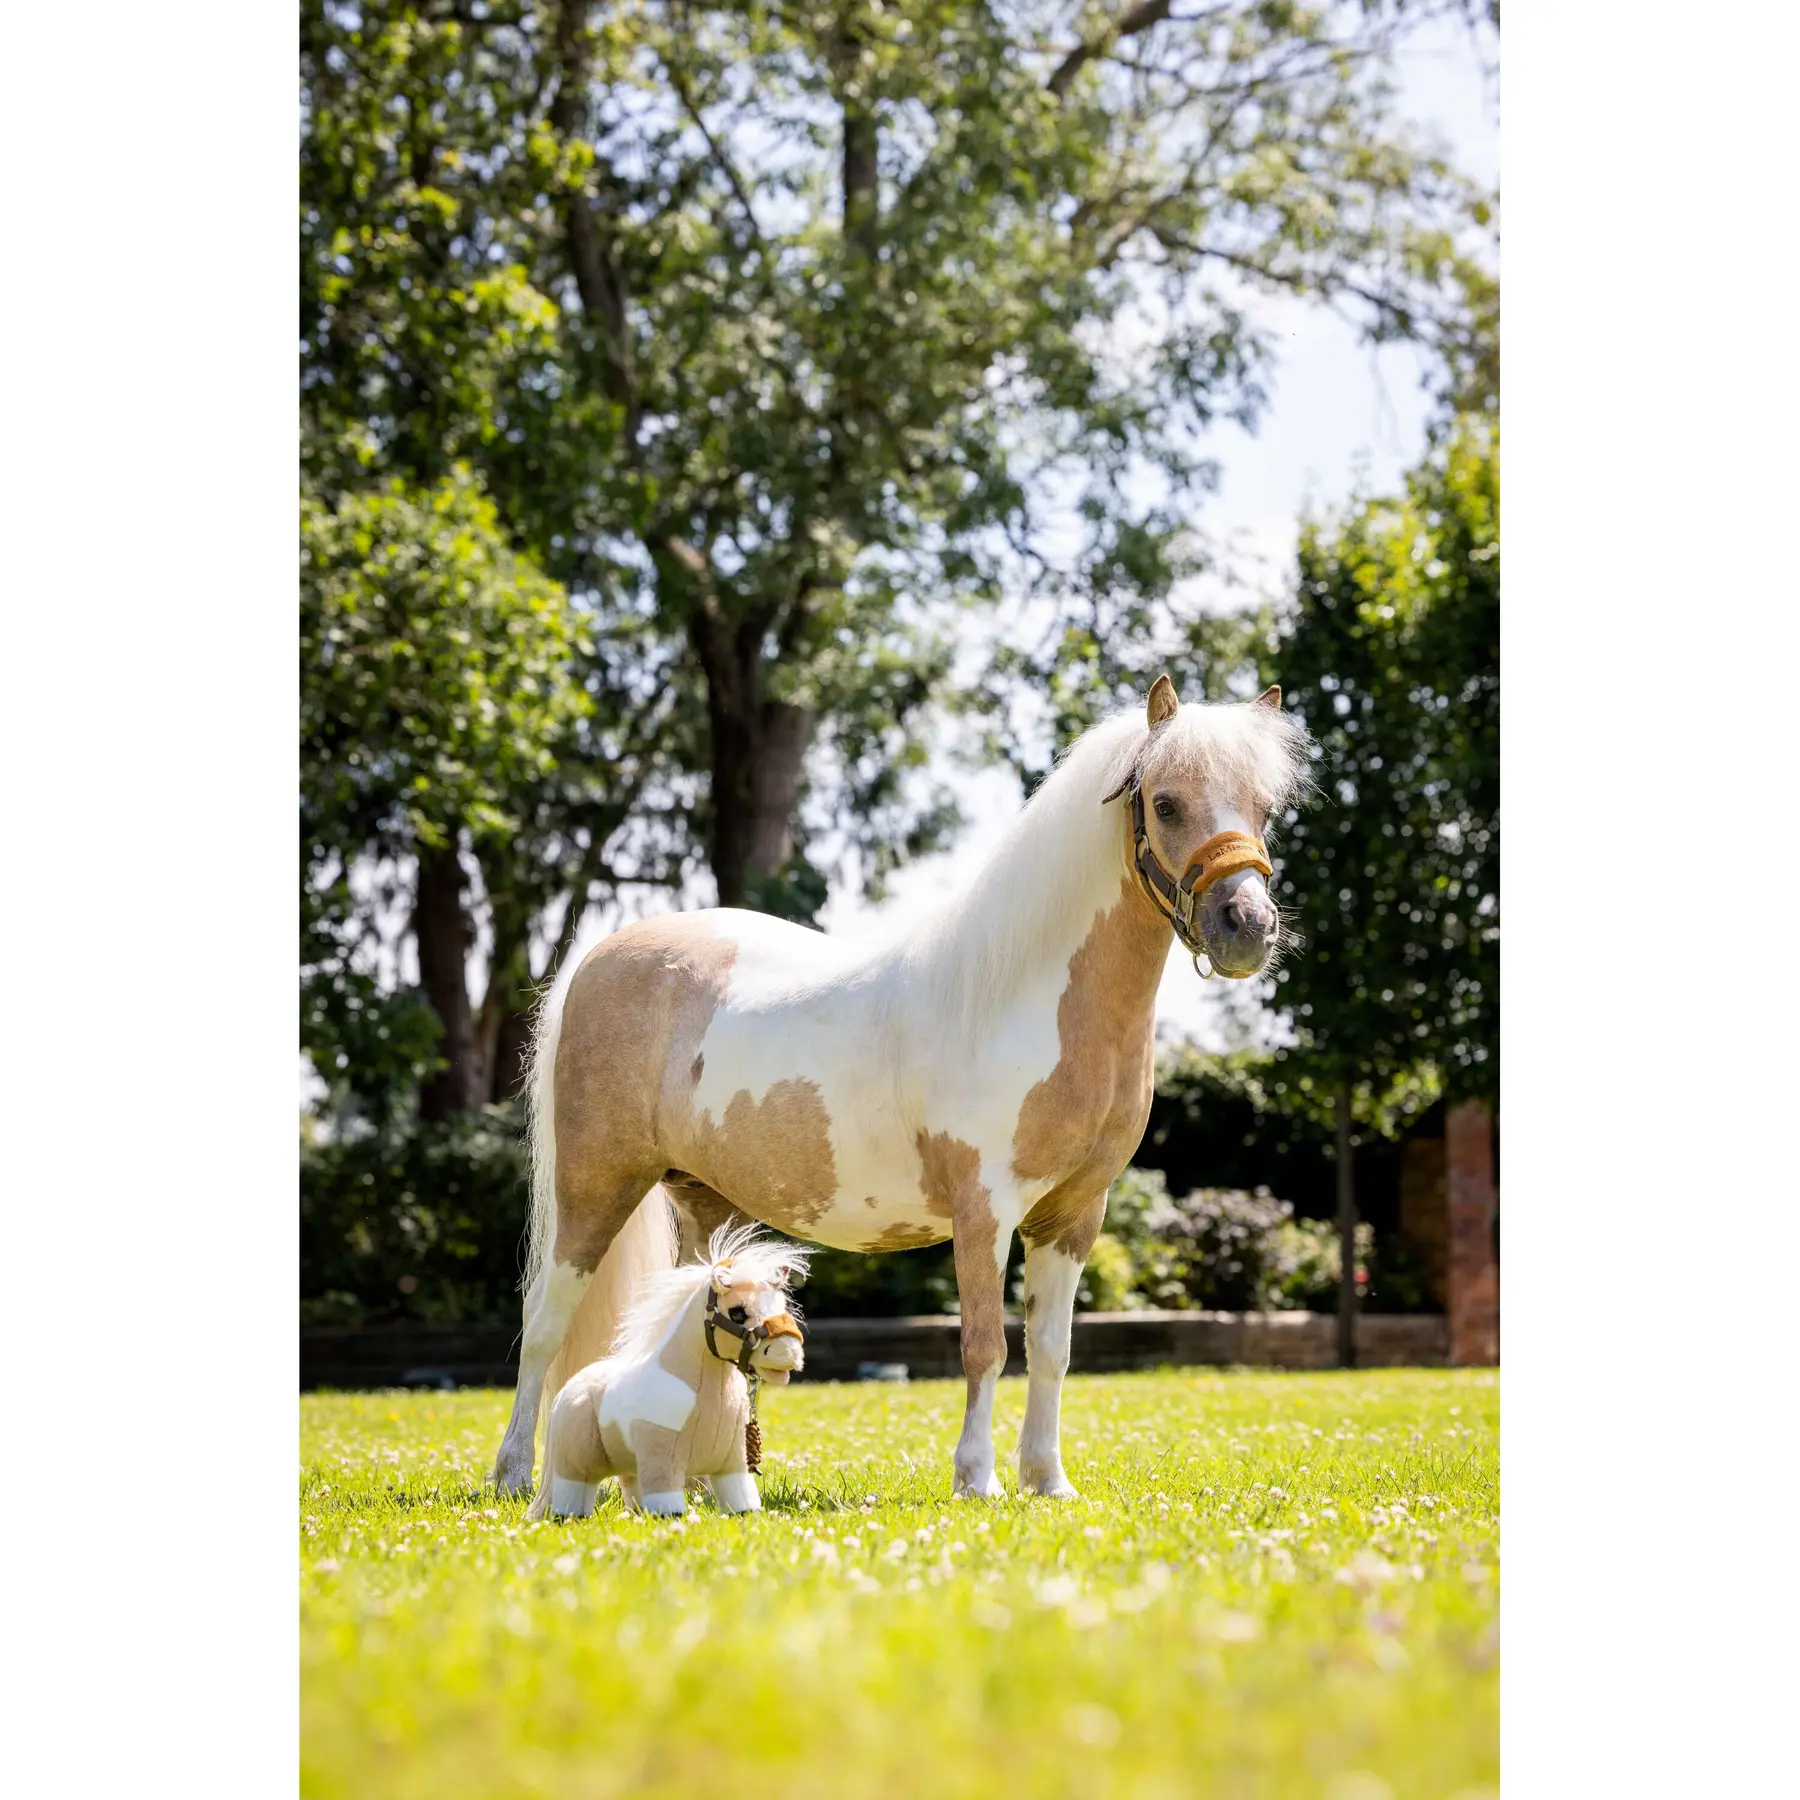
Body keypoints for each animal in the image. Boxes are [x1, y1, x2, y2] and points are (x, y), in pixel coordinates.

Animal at [525, 1223, 808, 1520]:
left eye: (782, 1305)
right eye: (738, 1313)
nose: (789, 1354)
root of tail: (570, 1386)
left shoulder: (732, 1465)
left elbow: (741, 1501)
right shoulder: (661, 1458)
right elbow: (667, 1503)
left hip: (628, 1462)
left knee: (630, 1485)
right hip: (576, 1463)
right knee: (574, 1491)